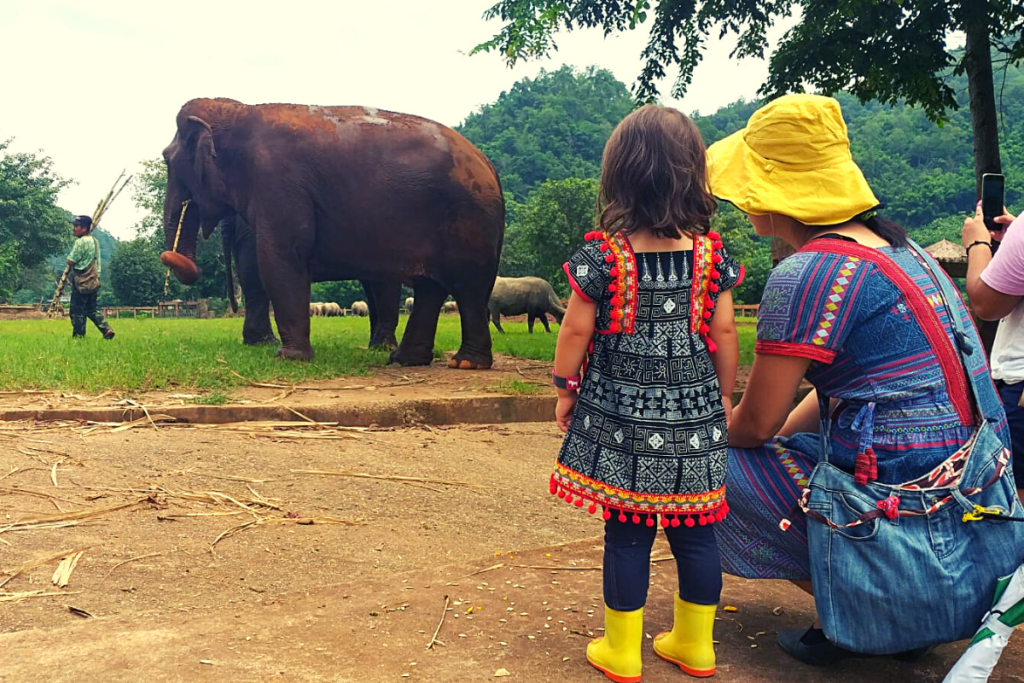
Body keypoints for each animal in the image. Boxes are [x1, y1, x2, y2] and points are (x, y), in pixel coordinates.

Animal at [158, 98, 503, 368]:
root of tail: (488, 164)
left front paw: (288, 358)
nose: (171, 257)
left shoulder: (279, 183)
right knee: (431, 289)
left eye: (165, 159)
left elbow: (280, 256)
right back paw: (404, 360)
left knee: (467, 288)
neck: (241, 111)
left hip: (469, 222)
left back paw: (464, 363)